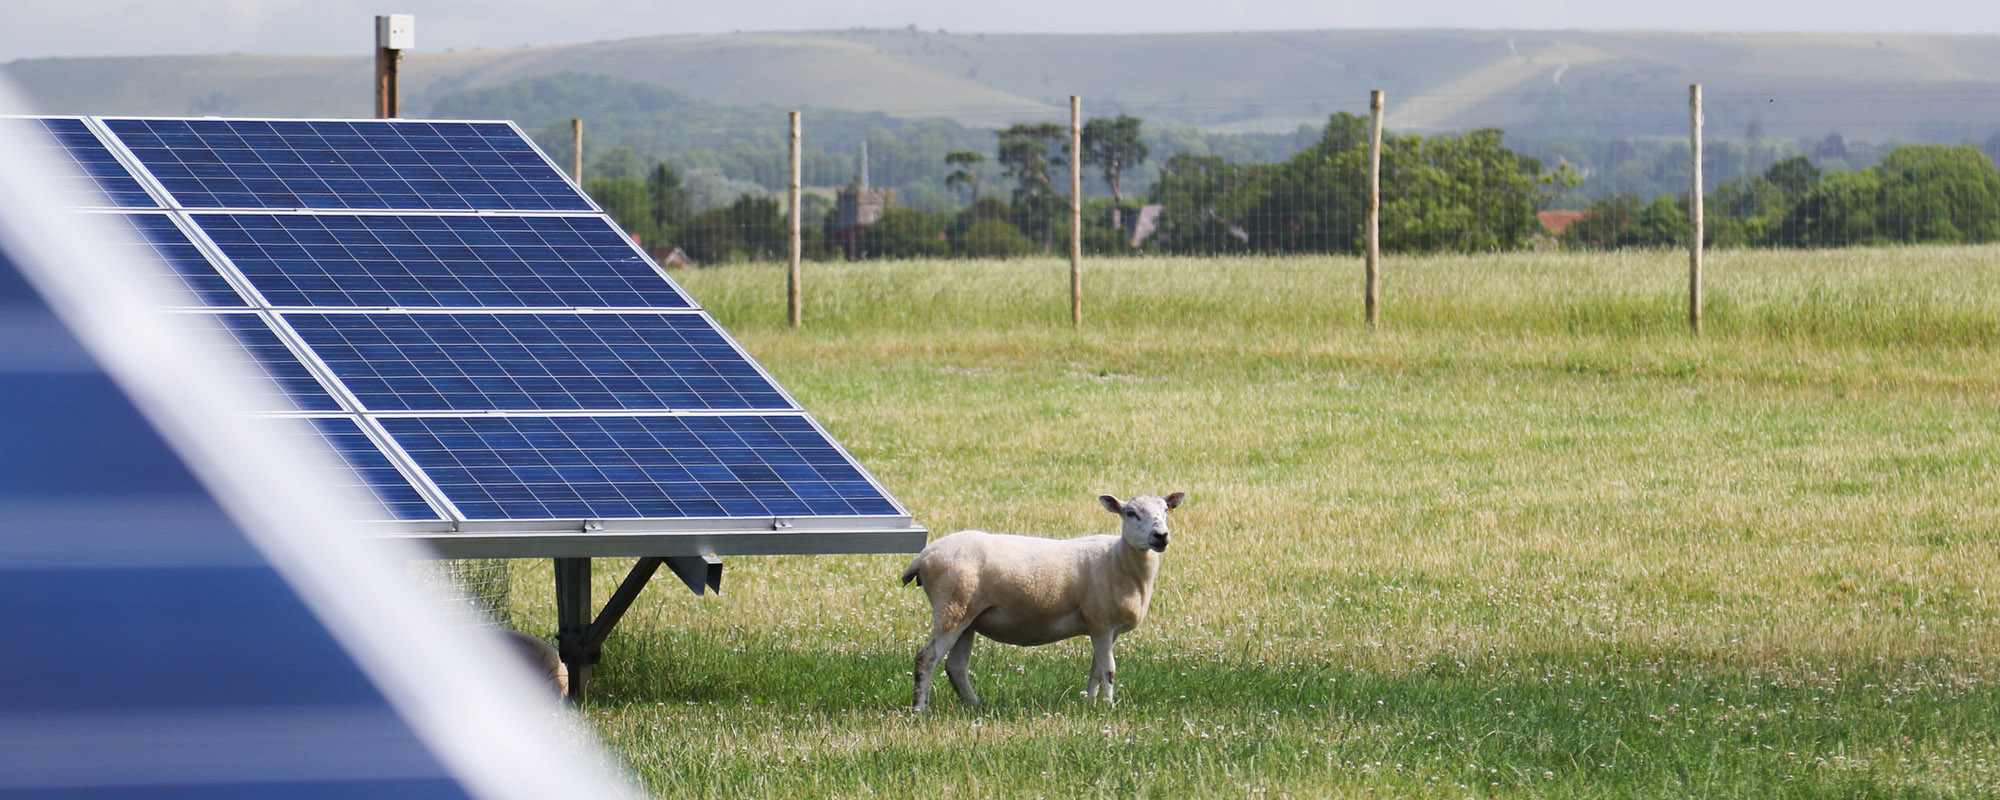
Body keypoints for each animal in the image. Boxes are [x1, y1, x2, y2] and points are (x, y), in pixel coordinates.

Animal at [901, 491, 1186, 711]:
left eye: (1166, 510)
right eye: (1131, 513)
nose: (1161, 536)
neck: (1119, 559)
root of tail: (924, 556)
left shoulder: (1103, 628)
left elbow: (1096, 669)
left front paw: (1091, 704)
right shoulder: (1102, 622)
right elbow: (1109, 670)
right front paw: (1109, 706)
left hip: (968, 618)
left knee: (956, 667)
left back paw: (975, 705)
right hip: (952, 609)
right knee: (927, 658)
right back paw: (920, 709)